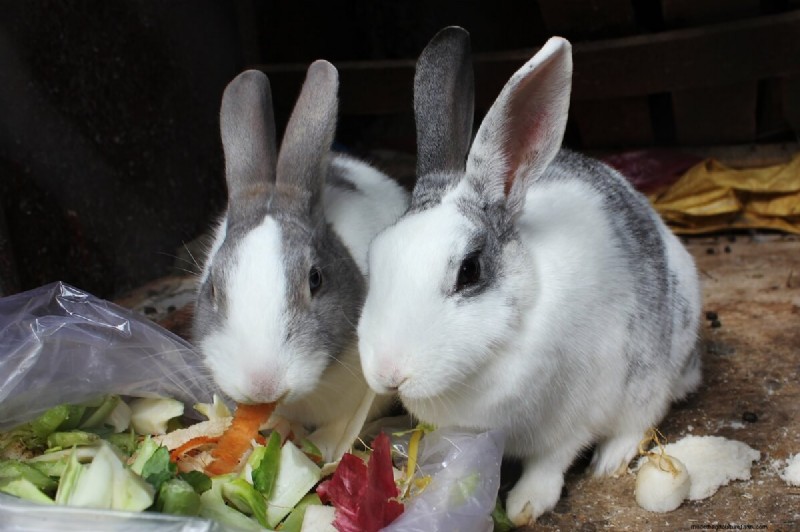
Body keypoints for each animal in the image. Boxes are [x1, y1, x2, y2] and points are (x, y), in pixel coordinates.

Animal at [357, 27, 702, 525]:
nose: (389, 374)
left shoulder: (573, 416)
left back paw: (611, 459)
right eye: (376, 257)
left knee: (643, 417)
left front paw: (525, 503)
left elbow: (552, 461)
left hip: (653, 375)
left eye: (469, 270)